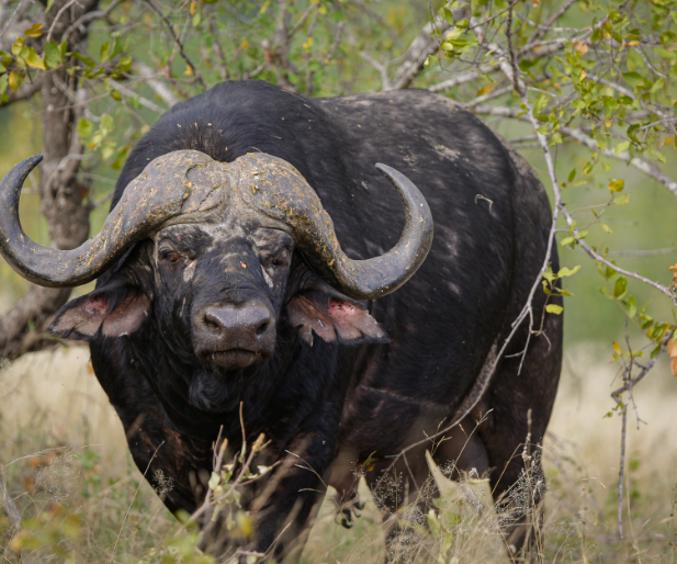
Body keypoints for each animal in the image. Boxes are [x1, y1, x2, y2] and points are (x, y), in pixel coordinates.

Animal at [0, 80, 562, 560]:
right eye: (171, 253)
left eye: (278, 255)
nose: (237, 326)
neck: (219, 404)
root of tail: (533, 196)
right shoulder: (156, 447)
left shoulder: (302, 451)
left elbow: (267, 539)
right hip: (396, 455)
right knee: (411, 524)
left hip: (521, 414)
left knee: (521, 515)